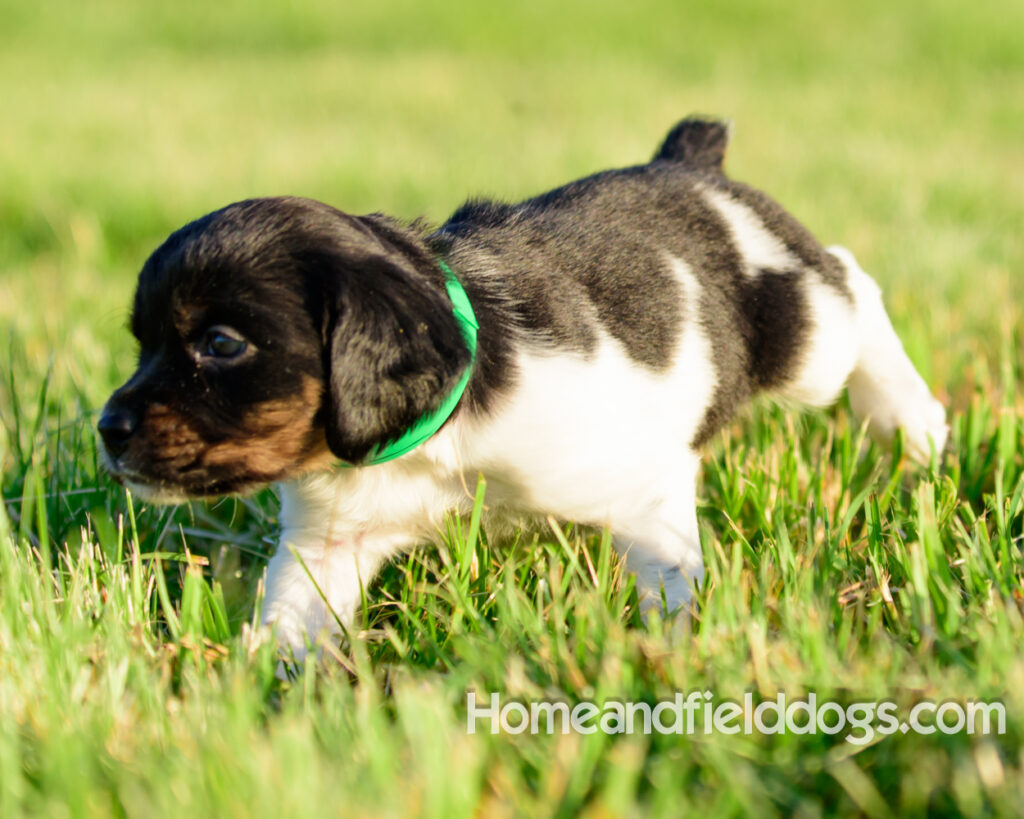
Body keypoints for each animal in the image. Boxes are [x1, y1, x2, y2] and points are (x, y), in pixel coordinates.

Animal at [99, 118, 946, 659]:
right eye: (141, 341)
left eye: (221, 344)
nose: (107, 431)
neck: (443, 432)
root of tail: (690, 161)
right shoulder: (330, 543)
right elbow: (290, 623)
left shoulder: (641, 485)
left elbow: (667, 583)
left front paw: (672, 659)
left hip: (806, 338)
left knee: (852, 281)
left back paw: (916, 428)